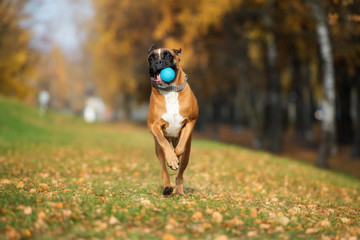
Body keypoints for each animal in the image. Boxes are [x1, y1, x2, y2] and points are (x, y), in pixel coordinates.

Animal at [146, 44, 198, 195]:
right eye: (151, 58)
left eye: (168, 55)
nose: (158, 61)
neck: (170, 90)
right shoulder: (153, 126)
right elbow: (164, 142)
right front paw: (172, 159)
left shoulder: (191, 121)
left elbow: (180, 148)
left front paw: (176, 157)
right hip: (157, 150)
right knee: (164, 169)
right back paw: (168, 187)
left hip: (187, 153)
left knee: (180, 173)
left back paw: (179, 190)